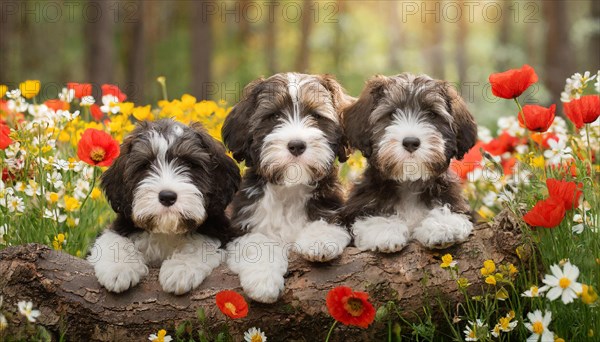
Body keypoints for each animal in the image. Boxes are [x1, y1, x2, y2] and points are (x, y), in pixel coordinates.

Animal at [87, 119, 241, 294]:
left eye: (189, 163)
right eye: (146, 165)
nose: (167, 196)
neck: (167, 231)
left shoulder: (221, 232)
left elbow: (200, 244)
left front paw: (180, 269)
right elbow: (114, 239)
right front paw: (118, 269)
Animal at [224, 71, 356, 302]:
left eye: (316, 116)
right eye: (274, 116)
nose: (296, 145)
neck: (290, 188)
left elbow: (327, 220)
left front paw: (319, 240)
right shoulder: (242, 225)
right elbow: (257, 242)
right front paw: (263, 280)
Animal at [342, 73, 478, 252]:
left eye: (432, 115)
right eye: (391, 114)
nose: (411, 142)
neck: (409, 183)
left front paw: (443, 225)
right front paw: (384, 230)